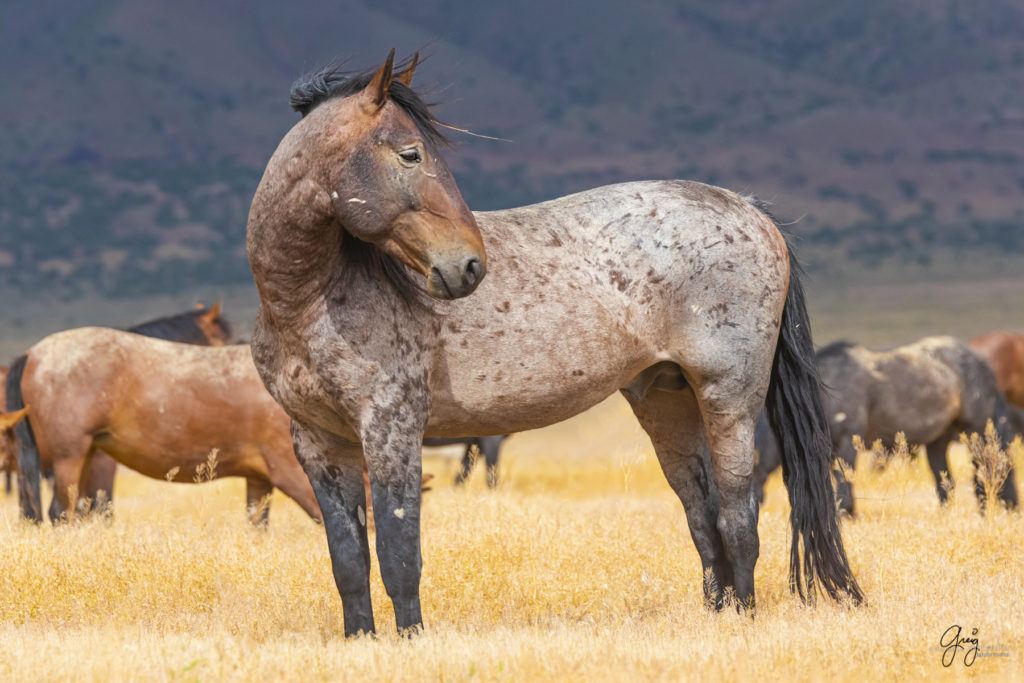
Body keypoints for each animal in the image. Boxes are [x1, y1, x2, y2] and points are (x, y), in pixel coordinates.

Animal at [4, 327, 321, 528]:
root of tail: (32, 353)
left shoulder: (259, 479)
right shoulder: (292, 473)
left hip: (84, 457)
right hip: (67, 458)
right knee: (61, 513)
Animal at [243, 50, 860, 638]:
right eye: (411, 154)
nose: (469, 266)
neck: (311, 300)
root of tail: (752, 210)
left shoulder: (391, 429)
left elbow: (399, 557)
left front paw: (411, 640)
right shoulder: (320, 443)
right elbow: (348, 561)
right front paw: (362, 641)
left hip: (728, 398)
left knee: (738, 517)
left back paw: (743, 621)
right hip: (667, 402)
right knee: (704, 520)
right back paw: (719, 616)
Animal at [753, 335, 1015, 511]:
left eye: (755, 451)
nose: (755, 501)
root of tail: (982, 363)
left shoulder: (846, 443)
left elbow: (845, 485)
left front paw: (848, 515)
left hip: (976, 431)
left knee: (986, 469)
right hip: (938, 441)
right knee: (946, 482)